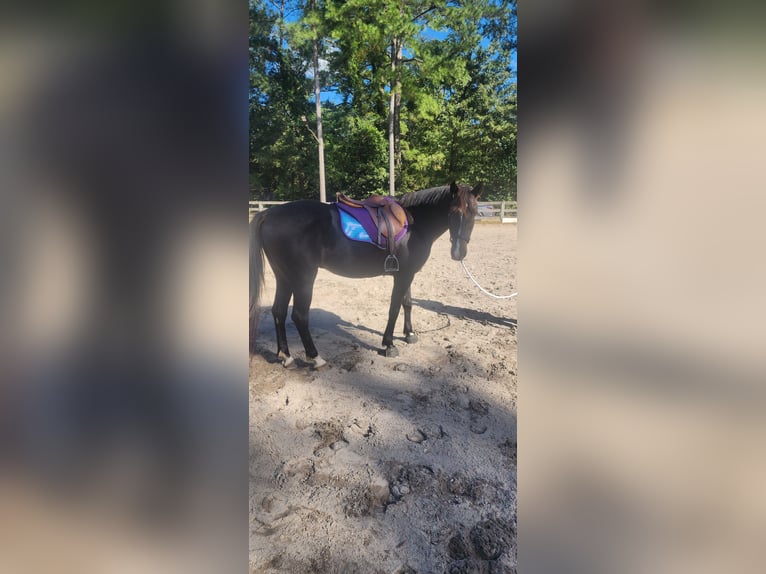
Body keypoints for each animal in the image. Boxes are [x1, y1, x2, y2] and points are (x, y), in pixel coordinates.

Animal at [249, 181, 482, 368]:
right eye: (452, 213)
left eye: (474, 213)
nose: (458, 253)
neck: (415, 225)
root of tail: (269, 214)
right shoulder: (402, 276)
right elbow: (394, 308)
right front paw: (388, 345)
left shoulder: (407, 273)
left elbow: (407, 303)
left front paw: (410, 334)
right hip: (303, 278)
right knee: (299, 315)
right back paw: (315, 358)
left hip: (284, 276)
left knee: (278, 311)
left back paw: (285, 355)